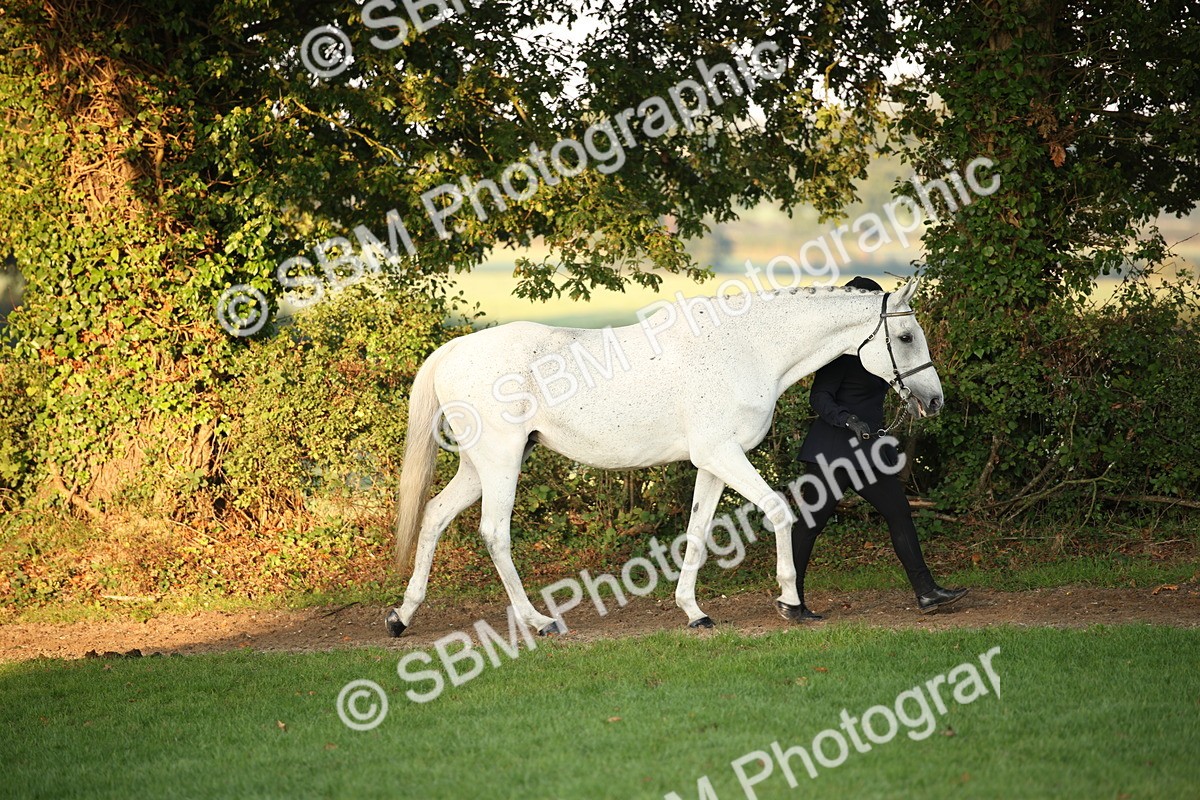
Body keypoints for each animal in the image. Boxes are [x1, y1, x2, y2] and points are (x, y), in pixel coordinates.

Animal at [385, 277, 942, 636]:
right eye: (907, 336)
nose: (935, 401)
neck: (746, 348)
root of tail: (454, 350)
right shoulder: (723, 454)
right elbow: (780, 511)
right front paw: (790, 601)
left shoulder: (713, 463)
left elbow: (696, 533)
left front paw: (693, 611)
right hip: (501, 463)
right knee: (494, 534)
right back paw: (539, 622)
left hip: (478, 466)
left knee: (434, 515)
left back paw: (402, 616)